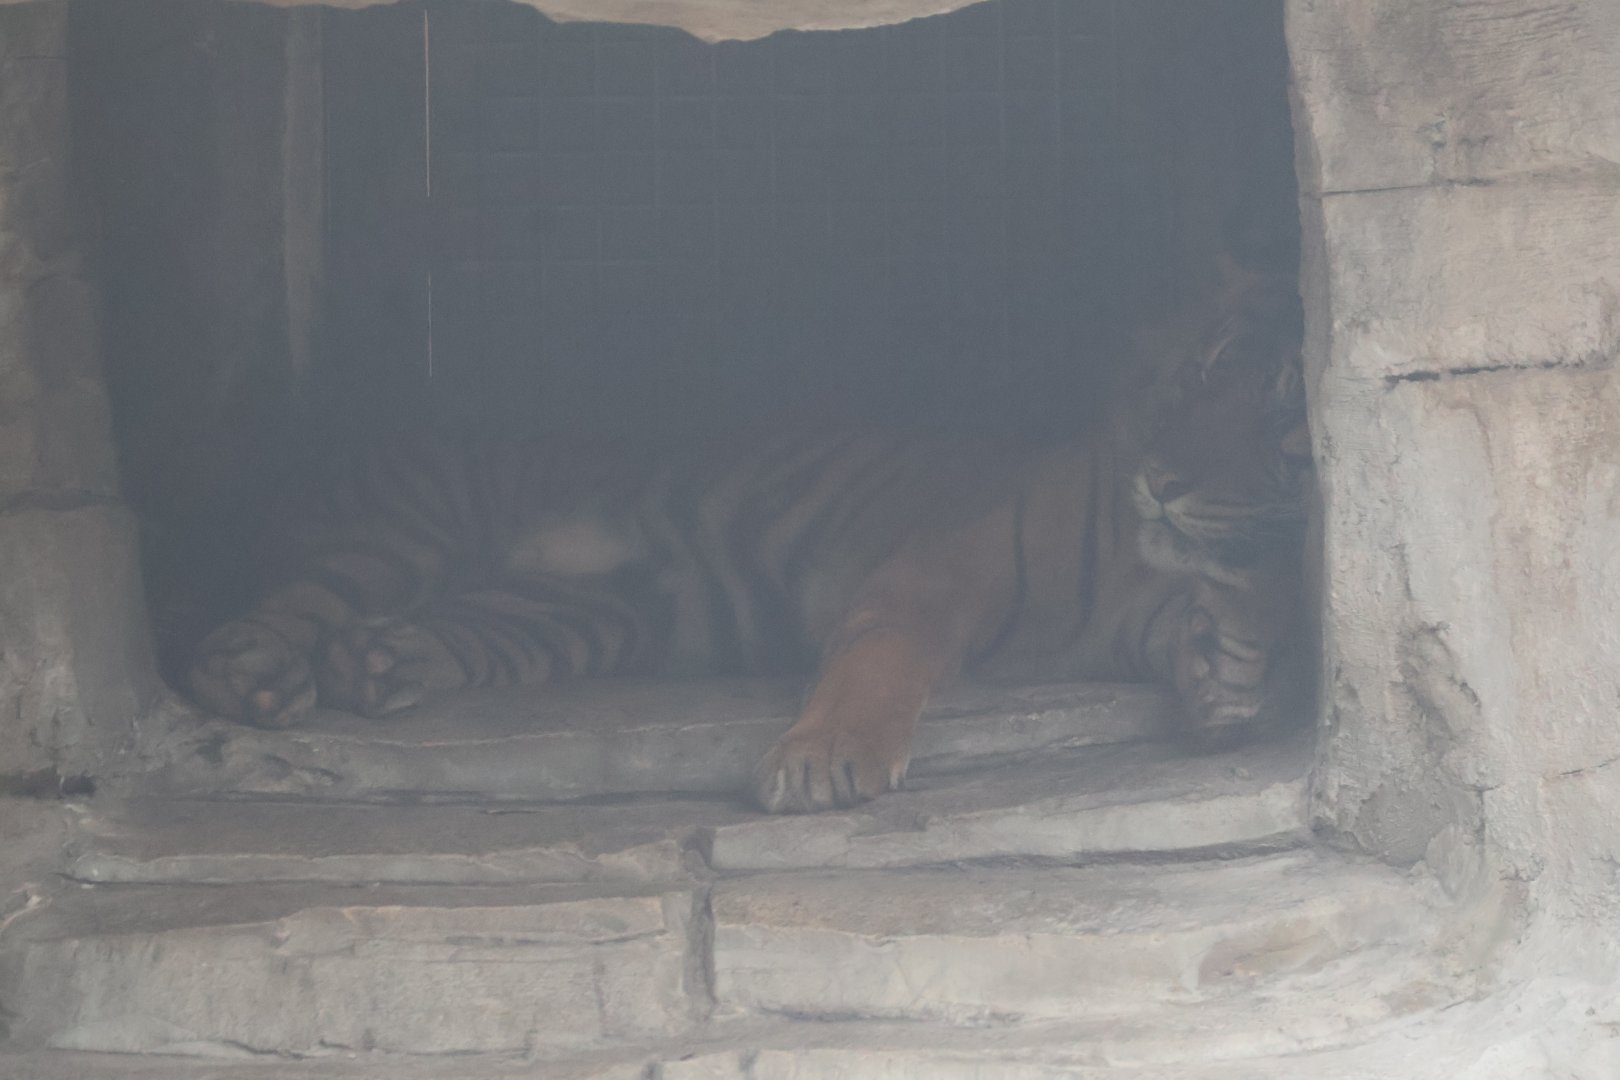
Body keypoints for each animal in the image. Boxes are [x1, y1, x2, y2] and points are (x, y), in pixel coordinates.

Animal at [182, 268, 1312, 814]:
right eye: (1205, 372)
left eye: (1286, 422)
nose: (1161, 481)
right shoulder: (931, 574)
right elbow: (882, 662)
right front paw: (824, 764)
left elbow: (1208, 639)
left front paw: (1232, 665)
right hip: (405, 533)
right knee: (272, 610)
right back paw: (261, 680)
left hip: (591, 610)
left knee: (452, 629)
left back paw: (379, 664)